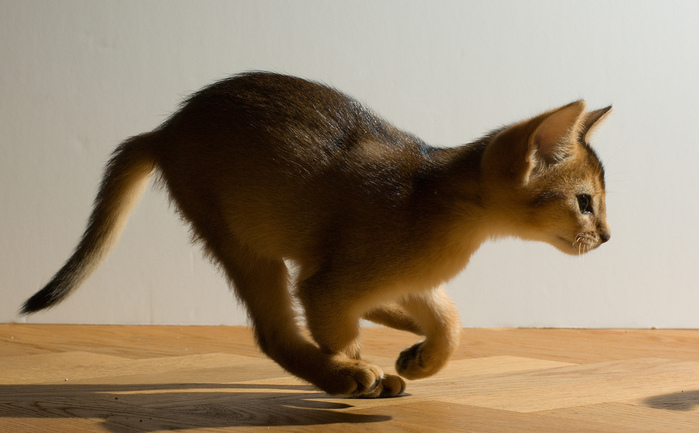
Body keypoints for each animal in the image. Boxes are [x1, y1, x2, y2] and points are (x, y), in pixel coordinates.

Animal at [20, 71, 612, 398]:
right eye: (584, 203)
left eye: (600, 205)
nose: (606, 236)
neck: (434, 197)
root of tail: (165, 128)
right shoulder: (329, 283)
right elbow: (339, 326)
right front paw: (357, 370)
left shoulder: (410, 281)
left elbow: (451, 322)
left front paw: (420, 359)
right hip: (243, 242)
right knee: (276, 333)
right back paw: (342, 374)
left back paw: (393, 332)